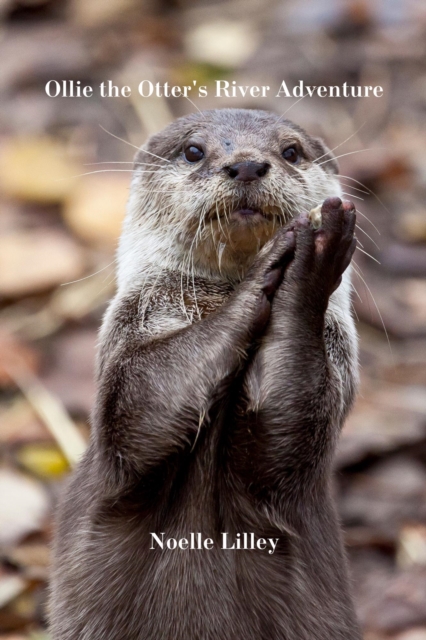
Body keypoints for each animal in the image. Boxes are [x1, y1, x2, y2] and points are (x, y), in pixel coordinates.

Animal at [50, 108, 361, 640]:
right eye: (193, 151)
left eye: (291, 151)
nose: (247, 165)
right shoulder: (126, 363)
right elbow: (142, 406)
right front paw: (287, 262)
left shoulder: (331, 384)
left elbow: (285, 426)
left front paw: (312, 257)